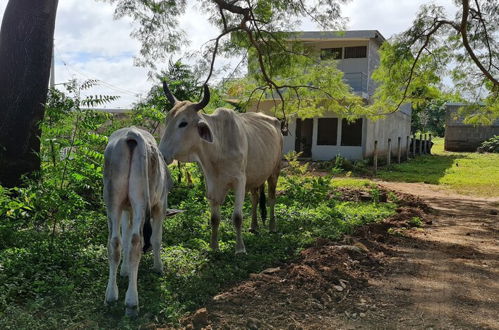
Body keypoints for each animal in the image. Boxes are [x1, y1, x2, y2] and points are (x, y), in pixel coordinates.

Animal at [158, 81, 284, 254]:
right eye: (167, 120)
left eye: (183, 123)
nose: (161, 154)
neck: (218, 148)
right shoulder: (211, 183)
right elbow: (214, 218)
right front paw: (214, 247)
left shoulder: (239, 181)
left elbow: (237, 217)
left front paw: (240, 248)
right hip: (255, 177)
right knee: (255, 199)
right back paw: (254, 226)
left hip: (274, 171)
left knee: (271, 199)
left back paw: (272, 227)